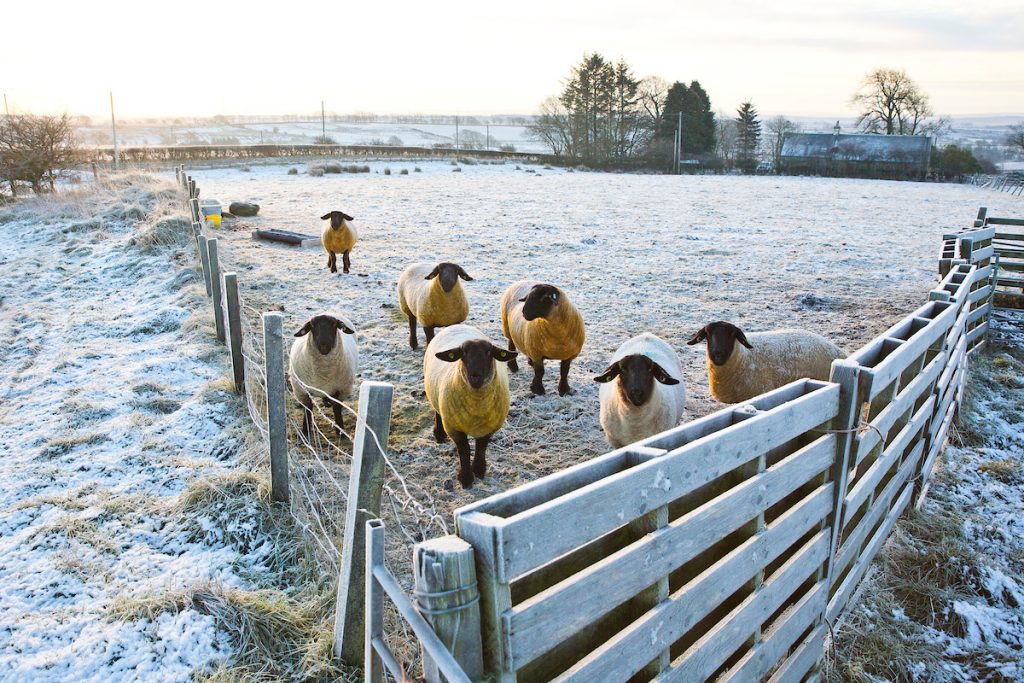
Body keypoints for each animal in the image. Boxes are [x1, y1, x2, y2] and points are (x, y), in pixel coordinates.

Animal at [425, 323, 520, 489]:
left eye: (489, 352)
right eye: (463, 353)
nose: (475, 376)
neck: (477, 408)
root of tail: (457, 325)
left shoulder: (489, 427)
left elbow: (481, 447)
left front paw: (479, 470)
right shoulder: (454, 427)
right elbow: (464, 451)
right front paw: (466, 478)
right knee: (437, 411)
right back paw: (439, 434)